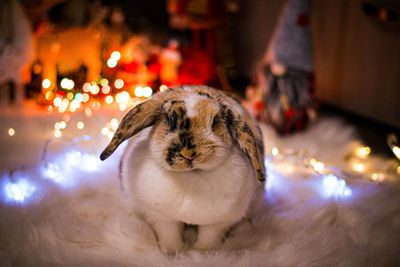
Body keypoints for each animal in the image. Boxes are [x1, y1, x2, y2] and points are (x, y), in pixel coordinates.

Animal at [100, 86, 266, 253]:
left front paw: (203, 252)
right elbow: (169, 234)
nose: (189, 154)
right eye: (170, 121)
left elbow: (209, 237)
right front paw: (172, 251)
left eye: (215, 122)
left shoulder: (217, 224)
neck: (191, 175)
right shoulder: (162, 218)